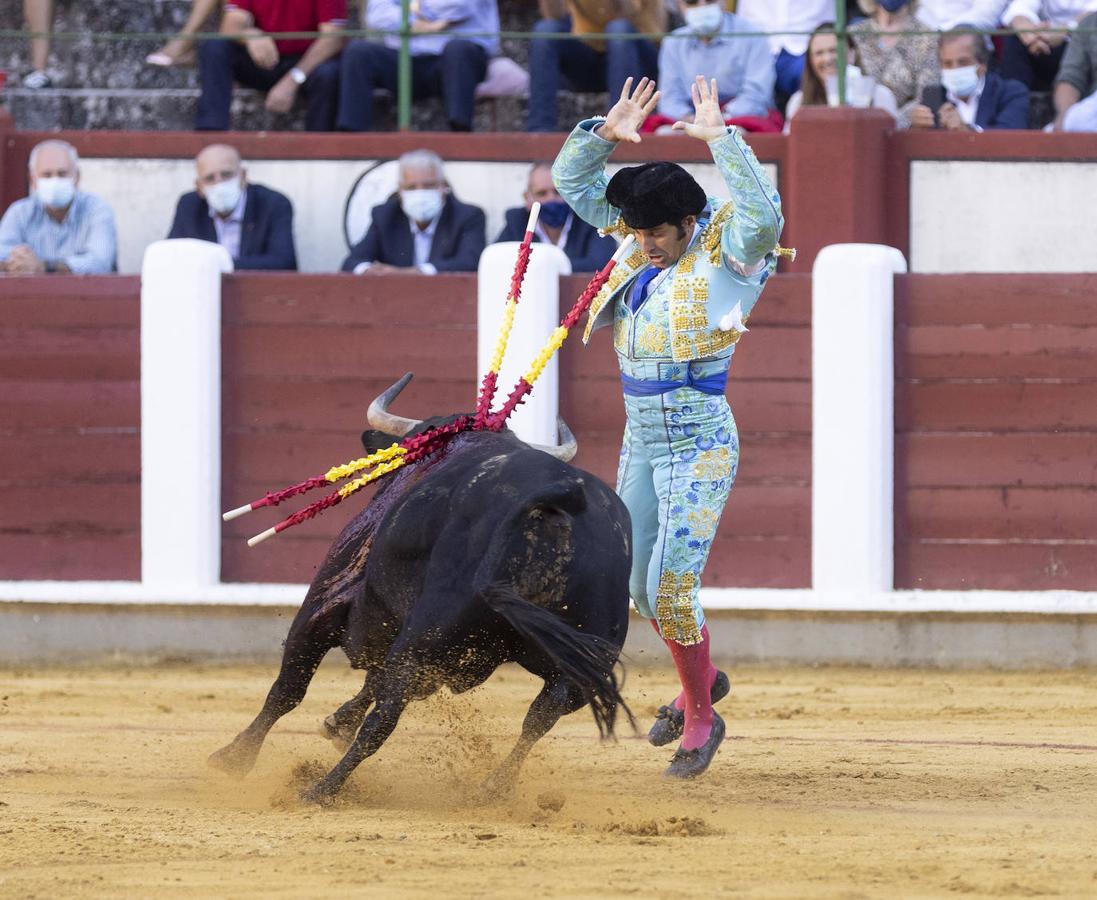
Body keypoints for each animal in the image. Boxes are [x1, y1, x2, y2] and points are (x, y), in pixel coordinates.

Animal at [208, 388, 636, 803]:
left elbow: (289, 688)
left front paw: (234, 758)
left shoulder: (327, 600)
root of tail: (559, 503)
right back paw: (492, 789)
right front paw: (337, 722)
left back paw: (320, 789)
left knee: (383, 720)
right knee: (541, 716)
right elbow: (373, 681)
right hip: (580, 662)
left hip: (427, 634)